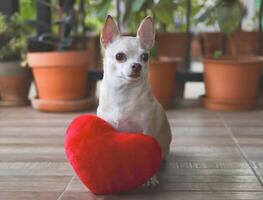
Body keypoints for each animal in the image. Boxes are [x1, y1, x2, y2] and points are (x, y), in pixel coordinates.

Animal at [98, 15, 172, 186]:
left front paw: (150, 178)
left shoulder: (147, 132)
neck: (123, 93)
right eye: (119, 56)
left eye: (145, 57)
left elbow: (149, 156)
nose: (137, 65)